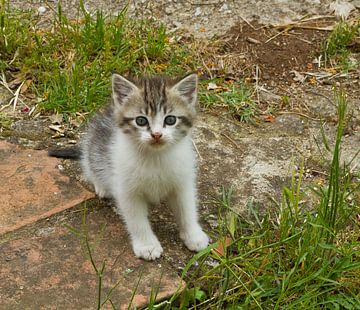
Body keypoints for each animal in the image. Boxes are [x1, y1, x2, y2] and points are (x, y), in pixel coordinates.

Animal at [49, 72, 210, 260]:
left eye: (170, 120)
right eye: (141, 121)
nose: (156, 135)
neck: (155, 157)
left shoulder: (182, 180)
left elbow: (187, 209)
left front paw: (194, 235)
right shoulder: (126, 188)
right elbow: (136, 219)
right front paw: (147, 245)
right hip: (94, 150)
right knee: (90, 163)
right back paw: (101, 186)